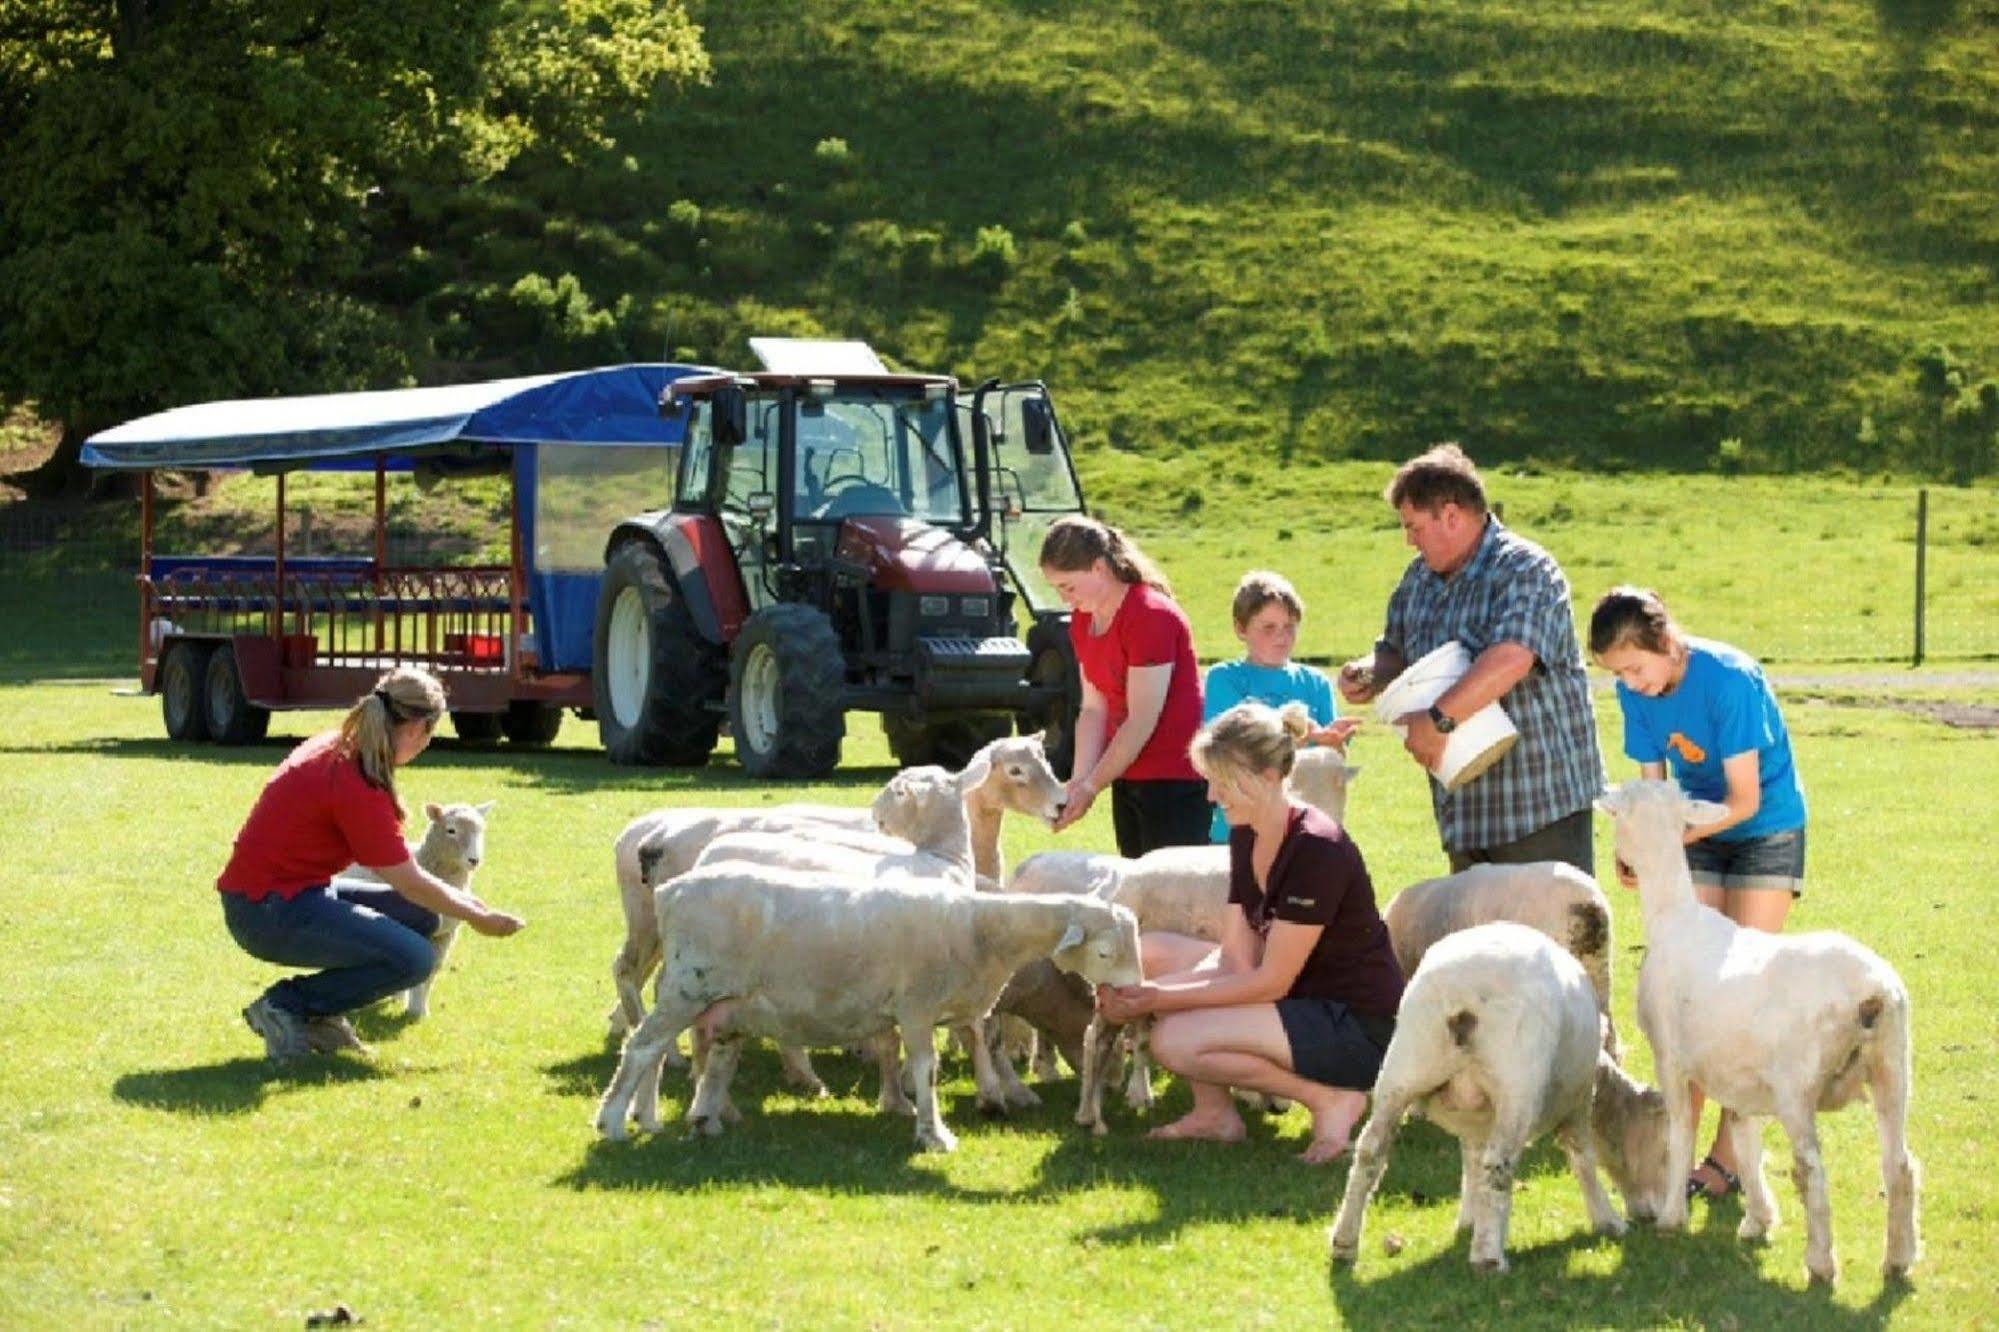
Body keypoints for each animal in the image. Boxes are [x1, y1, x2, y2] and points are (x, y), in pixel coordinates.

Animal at [331, 800, 491, 1016]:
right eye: (451, 830)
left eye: (481, 830)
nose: (474, 860)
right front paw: (414, 1009)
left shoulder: (445, 935)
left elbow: (432, 970)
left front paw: (420, 1010)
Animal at [591, 872, 1143, 1152]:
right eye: (1104, 953)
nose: (1135, 996)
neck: (977, 929)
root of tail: (669, 892)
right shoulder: (917, 1006)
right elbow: (926, 1068)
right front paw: (934, 1133)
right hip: (689, 986)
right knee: (642, 1046)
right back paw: (615, 1121)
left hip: (720, 1001)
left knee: (691, 1053)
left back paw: (690, 1119)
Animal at [1335, 920, 1679, 1272]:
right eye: (1665, 1148)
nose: (1652, 1216)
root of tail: (1463, 996)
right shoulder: (1578, 1101)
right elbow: (1582, 1158)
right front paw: (1607, 1221)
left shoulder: (1473, 1118)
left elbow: (1471, 1162)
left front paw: (1470, 1220)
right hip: (1517, 1081)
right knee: (1499, 1161)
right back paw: (1488, 1257)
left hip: (1404, 1067)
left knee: (1370, 1150)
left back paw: (1344, 1243)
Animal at [1591, 772, 1919, 1280]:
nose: (1622, 866)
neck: (1673, 916)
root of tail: (1873, 992)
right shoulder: (1737, 1073)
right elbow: (1743, 1136)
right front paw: (1758, 1218)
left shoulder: (1670, 1056)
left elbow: (1682, 1129)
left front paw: (1671, 1217)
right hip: (1893, 1068)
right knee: (1900, 1166)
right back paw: (1898, 1260)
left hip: (1798, 1086)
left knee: (1813, 1171)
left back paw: (1820, 1264)